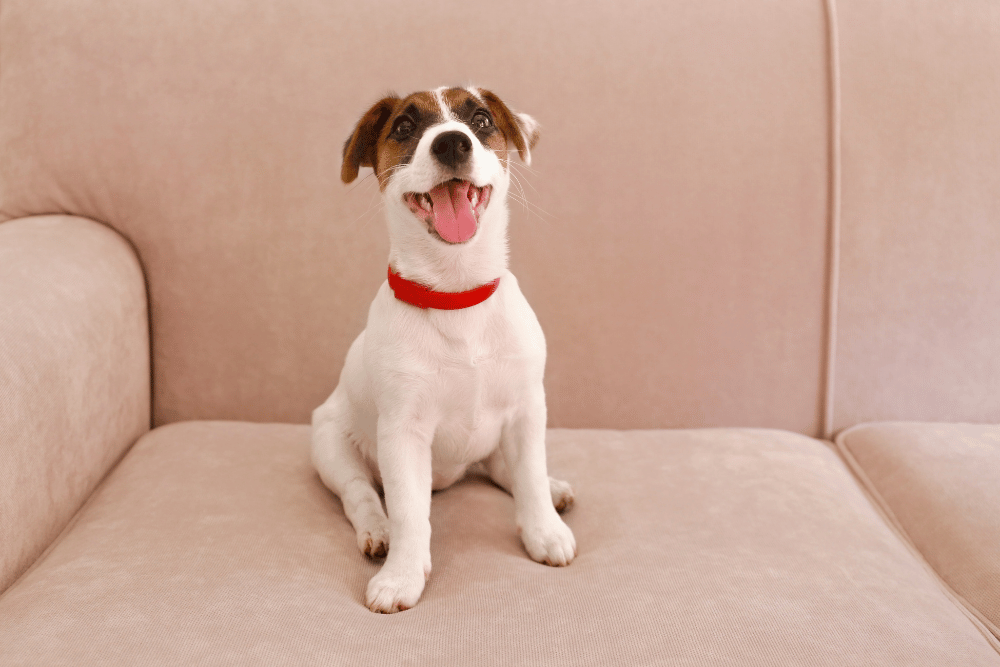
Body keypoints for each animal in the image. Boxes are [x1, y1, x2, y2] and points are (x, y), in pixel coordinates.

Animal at [312, 87, 580, 616]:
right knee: (360, 494)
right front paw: (401, 575)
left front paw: (544, 529)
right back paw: (377, 530)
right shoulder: (403, 432)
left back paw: (552, 489)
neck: (457, 294)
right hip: (328, 443)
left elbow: (529, 476)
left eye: (481, 120)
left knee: (506, 467)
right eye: (403, 127)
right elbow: (410, 513)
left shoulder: (527, 409)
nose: (452, 142)